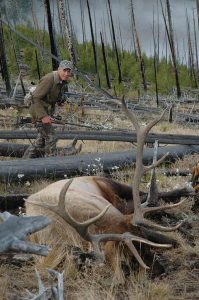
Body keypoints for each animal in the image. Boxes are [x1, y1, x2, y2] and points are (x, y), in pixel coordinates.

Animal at [25, 98, 186, 270]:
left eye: (144, 238)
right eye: (129, 255)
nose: (161, 269)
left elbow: (169, 239)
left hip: (111, 184)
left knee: (144, 194)